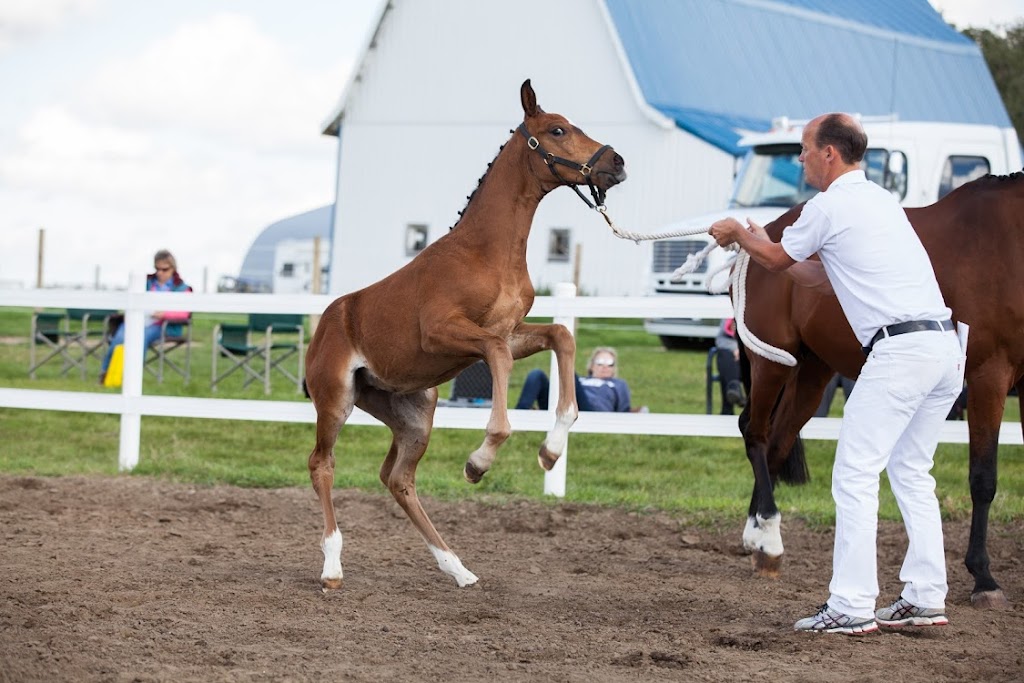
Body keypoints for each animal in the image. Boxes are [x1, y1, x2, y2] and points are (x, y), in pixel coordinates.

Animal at [301, 80, 622, 589]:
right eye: (557, 129)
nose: (617, 162)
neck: (487, 253)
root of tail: (326, 326)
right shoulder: (445, 333)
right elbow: (498, 363)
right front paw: (479, 462)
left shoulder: (510, 331)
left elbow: (561, 336)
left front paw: (551, 451)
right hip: (336, 400)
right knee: (322, 464)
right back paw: (333, 565)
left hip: (415, 413)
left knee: (398, 479)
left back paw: (457, 567)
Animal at [733, 171, 1019, 610]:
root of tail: (769, 233)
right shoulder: (991, 375)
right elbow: (983, 478)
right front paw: (984, 578)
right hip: (772, 363)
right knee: (756, 434)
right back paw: (766, 541)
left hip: (812, 372)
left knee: (777, 442)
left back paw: (761, 540)